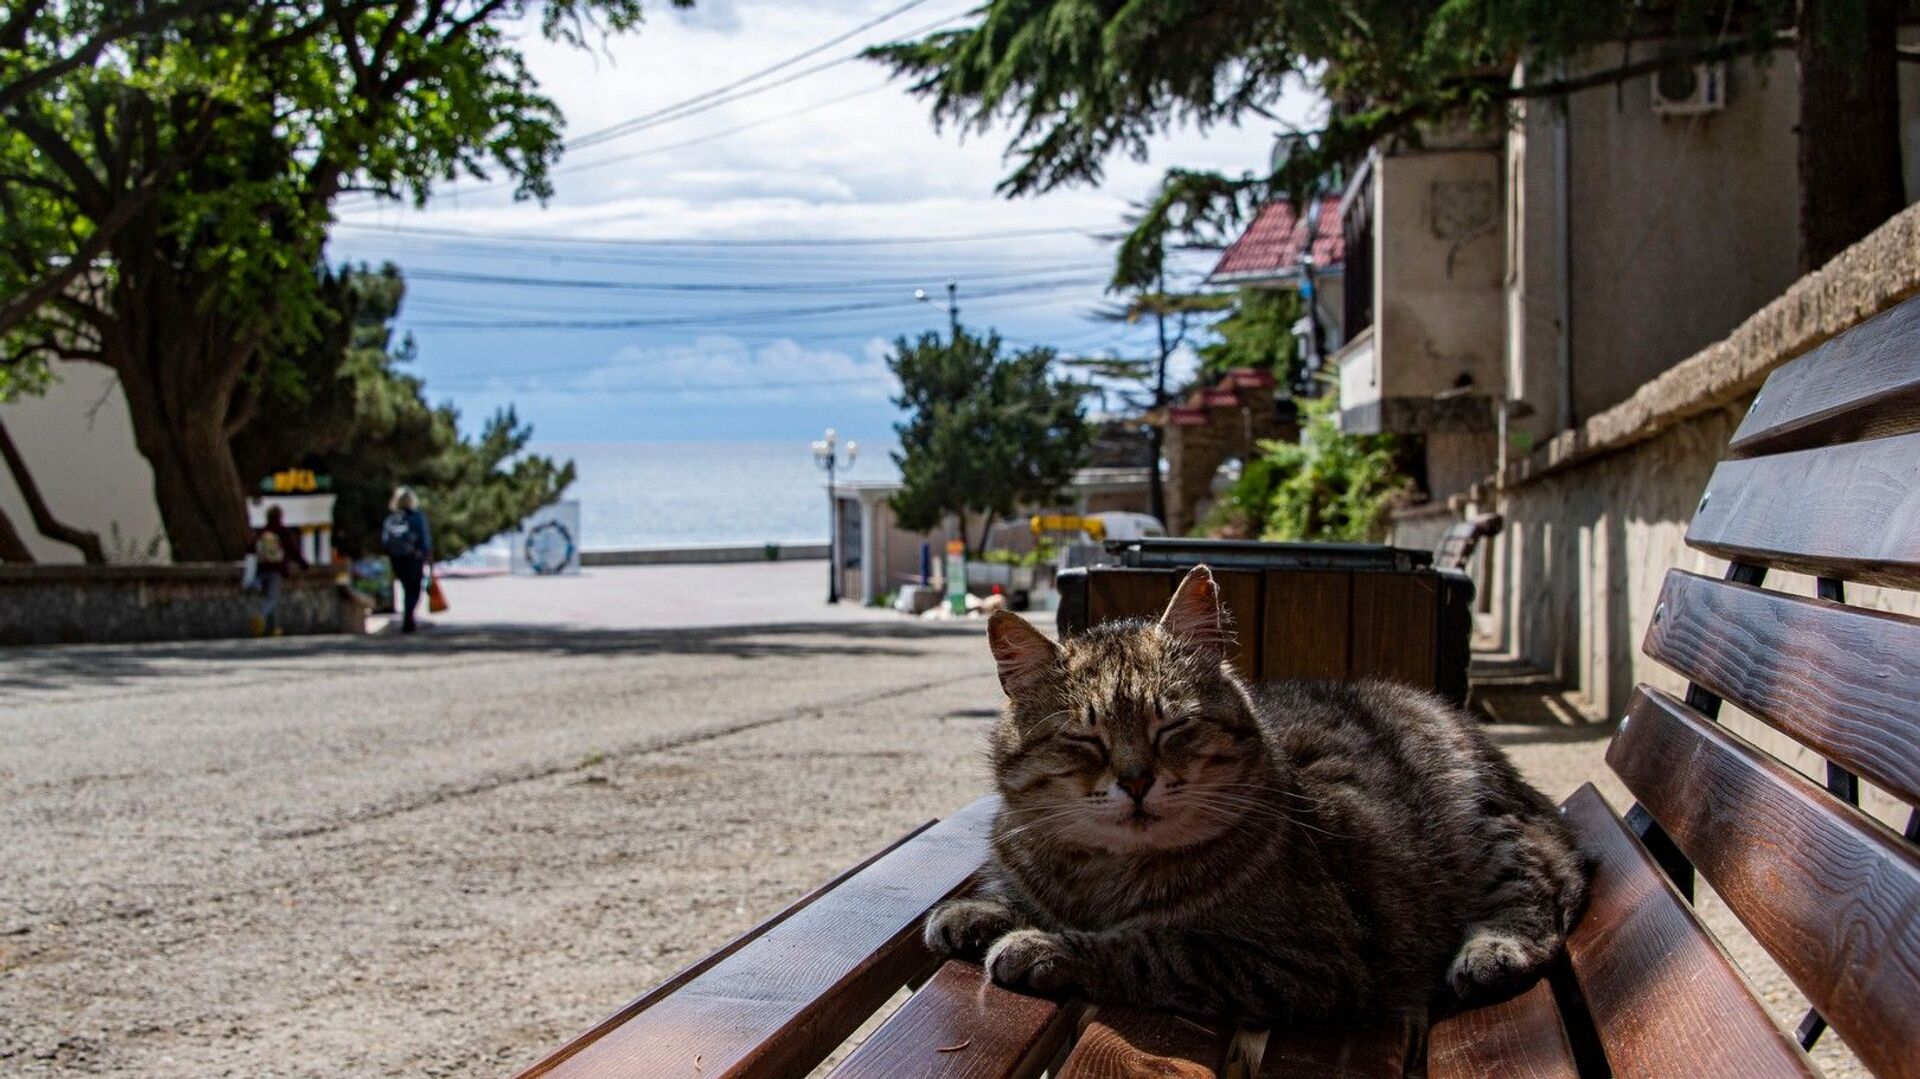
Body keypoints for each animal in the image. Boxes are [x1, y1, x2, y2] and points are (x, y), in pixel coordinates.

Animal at [929, 564, 1589, 1013]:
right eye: (1084, 739)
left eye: (1172, 726)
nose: (1137, 781)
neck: (1101, 875)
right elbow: (1016, 894)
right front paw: (978, 910)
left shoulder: (1302, 958)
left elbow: (1148, 948)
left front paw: (1041, 946)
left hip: (1485, 831)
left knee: (1543, 888)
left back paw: (1492, 949)